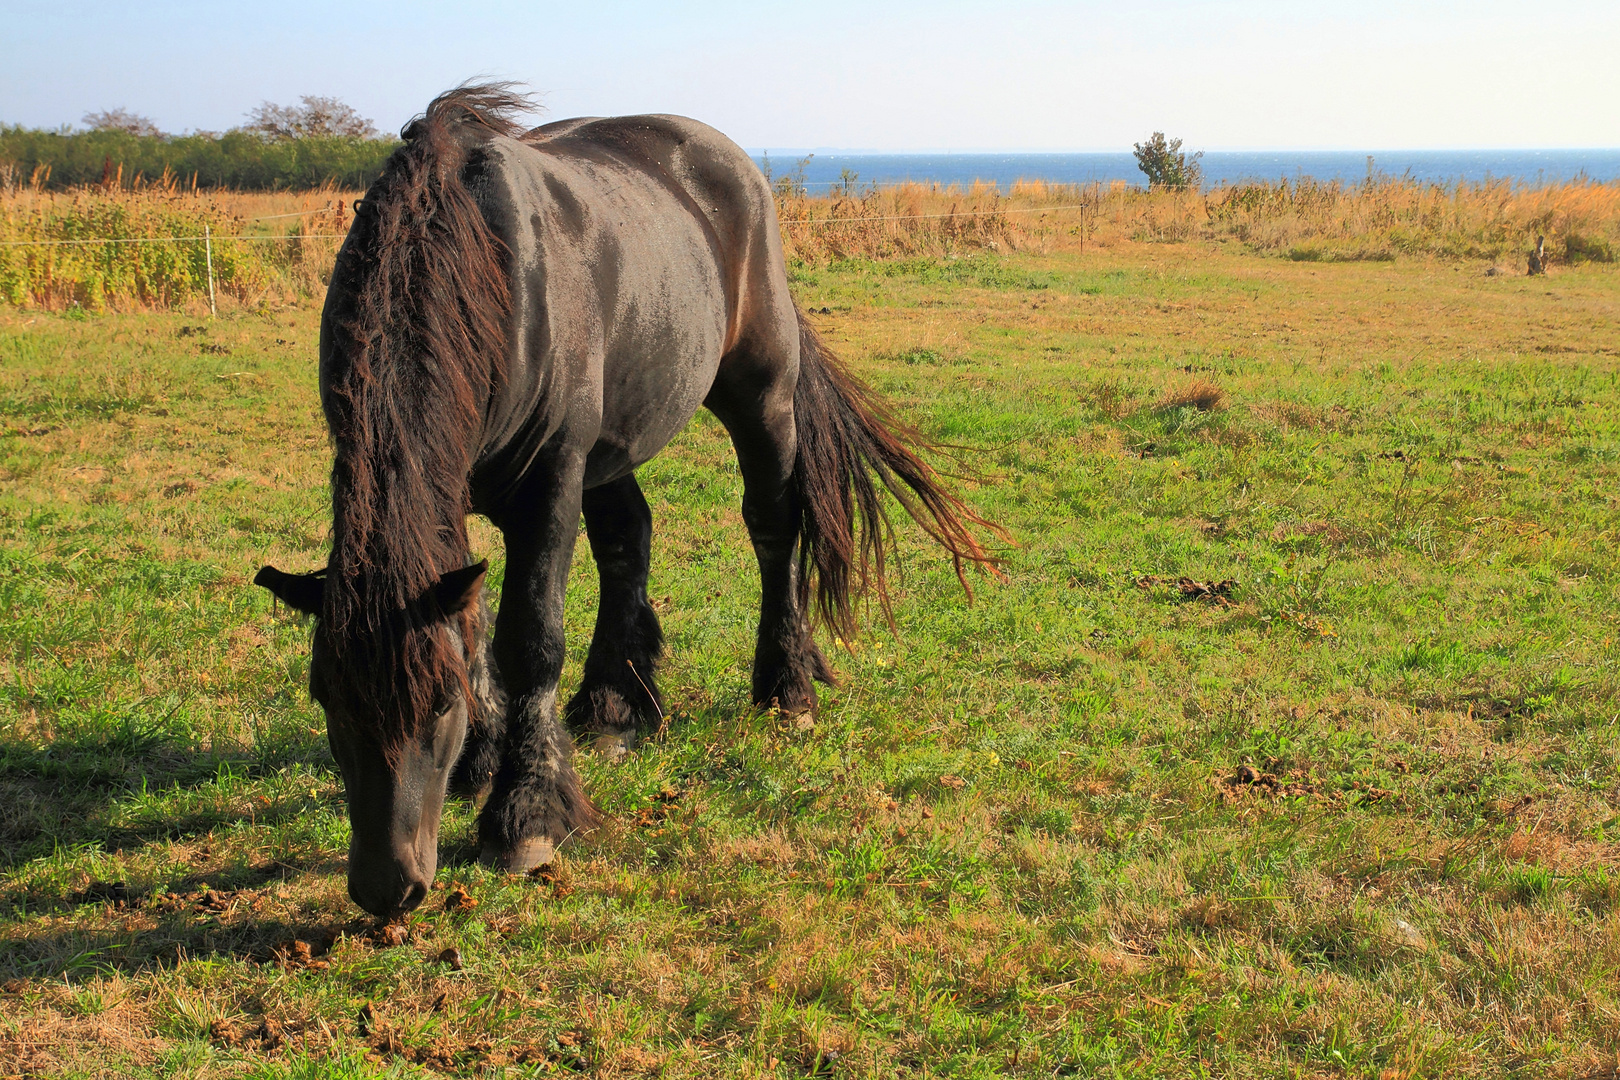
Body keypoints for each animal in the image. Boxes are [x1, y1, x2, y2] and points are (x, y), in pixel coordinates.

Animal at [254, 86, 997, 919]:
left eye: (439, 705)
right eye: (325, 698)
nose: (389, 886)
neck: (483, 263)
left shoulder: (548, 481)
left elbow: (529, 639)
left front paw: (525, 813)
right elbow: (473, 624)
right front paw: (485, 760)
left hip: (760, 396)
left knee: (772, 528)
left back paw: (786, 689)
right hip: (611, 447)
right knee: (628, 540)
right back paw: (616, 705)